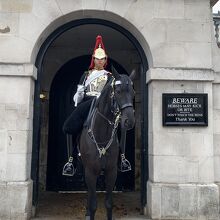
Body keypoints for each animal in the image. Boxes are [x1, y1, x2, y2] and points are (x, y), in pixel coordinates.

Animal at [79, 69, 134, 220]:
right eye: (118, 91)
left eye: (133, 92)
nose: (129, 121)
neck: (101, 134)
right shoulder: (90, 171)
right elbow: (93, 204)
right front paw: (89, 211)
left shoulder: (111, 171)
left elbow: (109, 203)